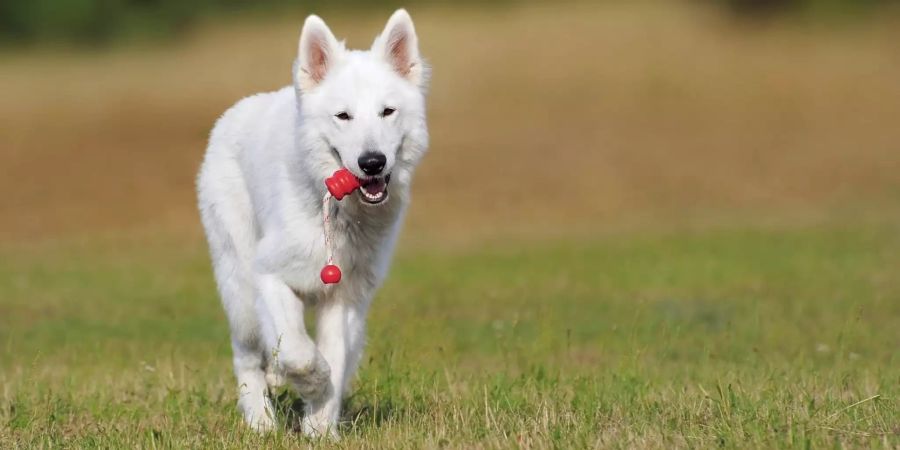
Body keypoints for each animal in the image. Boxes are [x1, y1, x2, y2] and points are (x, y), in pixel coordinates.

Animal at [196, 10, 432, 438]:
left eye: (387, 112)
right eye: (343, 116)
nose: (372, 162)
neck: (337, 212)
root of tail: (234, 112)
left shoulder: (344, 298)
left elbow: (334, 358)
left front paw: (320, 428)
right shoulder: (269, 276)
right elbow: (299, 352)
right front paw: (311, 384)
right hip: (239, 288)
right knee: (247, 355)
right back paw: (260, 421)